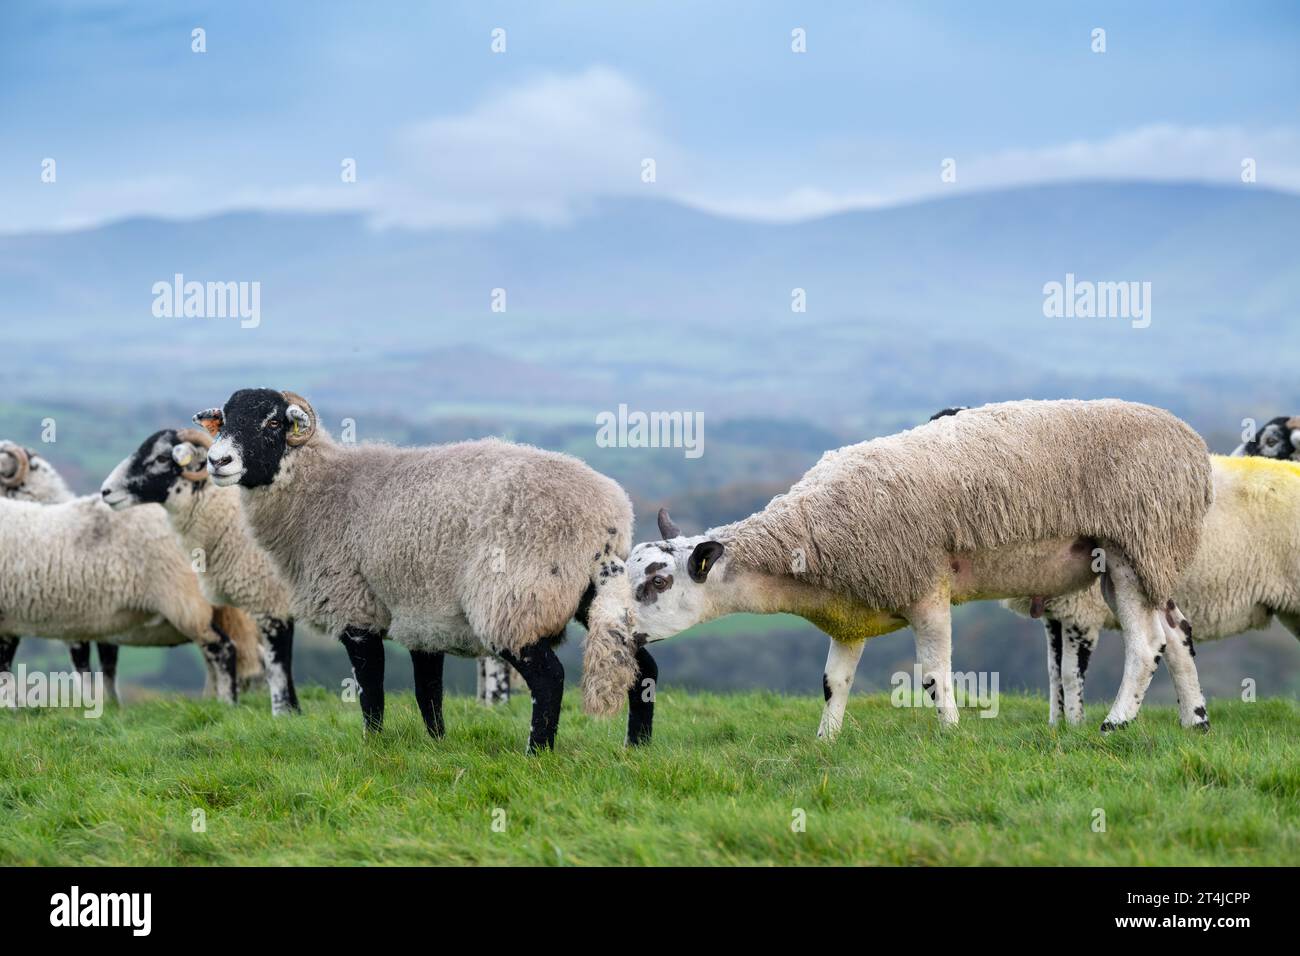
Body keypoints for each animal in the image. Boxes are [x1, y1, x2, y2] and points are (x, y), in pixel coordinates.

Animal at [99, 429, 301, 712]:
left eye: (162, 458)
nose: (106, 491)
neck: (228, 521)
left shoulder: (270, 599)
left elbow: (279, 662)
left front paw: (287, 712)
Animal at [191, 390, 650, 754]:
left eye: (272, 422)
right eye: (224, 421)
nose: (218, 460)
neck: (322, 490)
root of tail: (609, 515)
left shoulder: (356, 607)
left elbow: (372, 691)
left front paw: (372, 746)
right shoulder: (423, 613)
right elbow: (427, 691)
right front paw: (436, 745)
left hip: (515, 598)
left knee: (550, 679)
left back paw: (536, 753)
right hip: (594, 594)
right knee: (642, 667)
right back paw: (637, 746)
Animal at [600, 400, 1216, 738]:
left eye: (658, 582)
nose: (618, 635)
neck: (807, 537)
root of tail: (1191, 443)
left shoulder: (926, 589)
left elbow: (934, 675)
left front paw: (951, 734)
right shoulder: (851, 615)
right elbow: (833, 682)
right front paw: (825, 740)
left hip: (1136, 544)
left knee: (1147, 642)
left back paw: (1117, 723)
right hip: (1144, 558)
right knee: (1177, 631)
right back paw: (1196, 721)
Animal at [1008, 455, 1300, 723]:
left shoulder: (1081, 612)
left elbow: (1069, 674)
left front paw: (1075, 727)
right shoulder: (1056, 612)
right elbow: (1054, 671)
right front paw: (1057, 728)